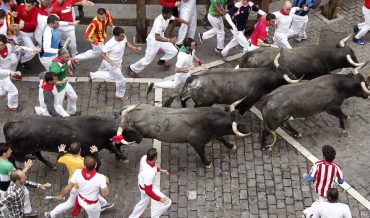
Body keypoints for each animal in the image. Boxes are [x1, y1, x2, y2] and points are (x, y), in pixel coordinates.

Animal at [3, 116, 132, 168]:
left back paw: (51, 166)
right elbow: (98, 162)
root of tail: (11, 124)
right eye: (131, 129)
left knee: (38, 155)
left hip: (36, 147)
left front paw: (123, 158)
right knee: (14, 157)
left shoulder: (103, 143)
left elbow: (113, 148)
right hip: (20, 149)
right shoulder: (86, 152)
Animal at [114, 101, 250, 169]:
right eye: (239, 125)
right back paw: (120, 157)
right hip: (131, 137)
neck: (209, 121)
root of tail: (125, 114)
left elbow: (222, 138)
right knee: (117, 142)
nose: (248, 131)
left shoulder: (214, 134)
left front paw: (231, 146)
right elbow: (202, 153)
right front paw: (207, 163)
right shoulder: (196, 142)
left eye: (242, 119)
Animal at [165, 67, 300, 115]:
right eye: (285, 76)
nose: (295, 76)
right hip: (203, 103)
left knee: (183, 98)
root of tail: (195, 78)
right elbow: (241, 111)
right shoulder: (249, 102)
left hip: (193, 96)